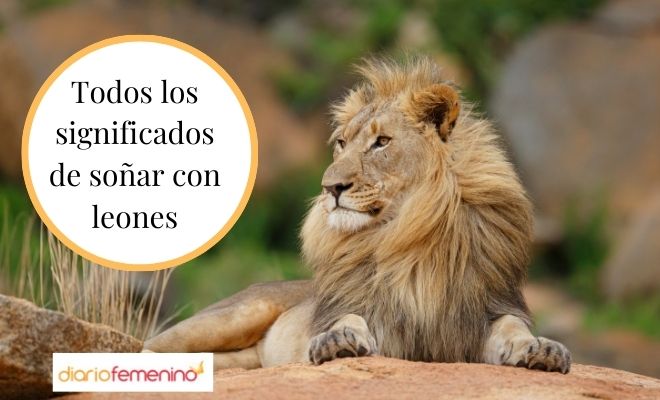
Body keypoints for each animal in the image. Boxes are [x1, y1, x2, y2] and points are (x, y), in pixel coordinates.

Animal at [143, 56, 571, 374]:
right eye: (342, 143)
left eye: (381, 142)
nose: (330, 187)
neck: (410, 237)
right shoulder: (364, 310)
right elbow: (348, 319)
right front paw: (337, 341)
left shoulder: (486, 310)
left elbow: (513, 328)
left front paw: (542, 349)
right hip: (237, 314)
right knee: (148, 346)